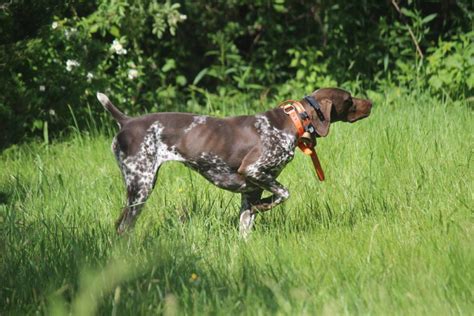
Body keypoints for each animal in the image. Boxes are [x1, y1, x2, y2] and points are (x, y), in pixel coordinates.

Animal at [97, 87, 370, 236]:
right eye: (349, 99)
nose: (371, 102)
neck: (290, 124)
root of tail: (127, 121)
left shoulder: (252, 188)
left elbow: (245, 226)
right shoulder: (254, 170)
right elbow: (284, 193)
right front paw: (265, 206)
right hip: (141, 185)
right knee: (123, 227)